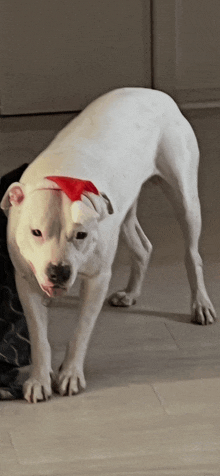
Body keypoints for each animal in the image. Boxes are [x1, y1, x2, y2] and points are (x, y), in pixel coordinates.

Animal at [0, 88, 216, 402]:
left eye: (81, 235)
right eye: (35, 232)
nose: (58, 272)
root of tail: (155, 93)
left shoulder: (97, 279)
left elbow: (81, 329)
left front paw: (70, 374)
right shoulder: (27, 280)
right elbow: (39, 336)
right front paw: (39, 378)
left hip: (184, 197)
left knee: (192, 254)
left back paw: (200, 304)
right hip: (123, 212)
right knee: (143, 248)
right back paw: (131, 293)